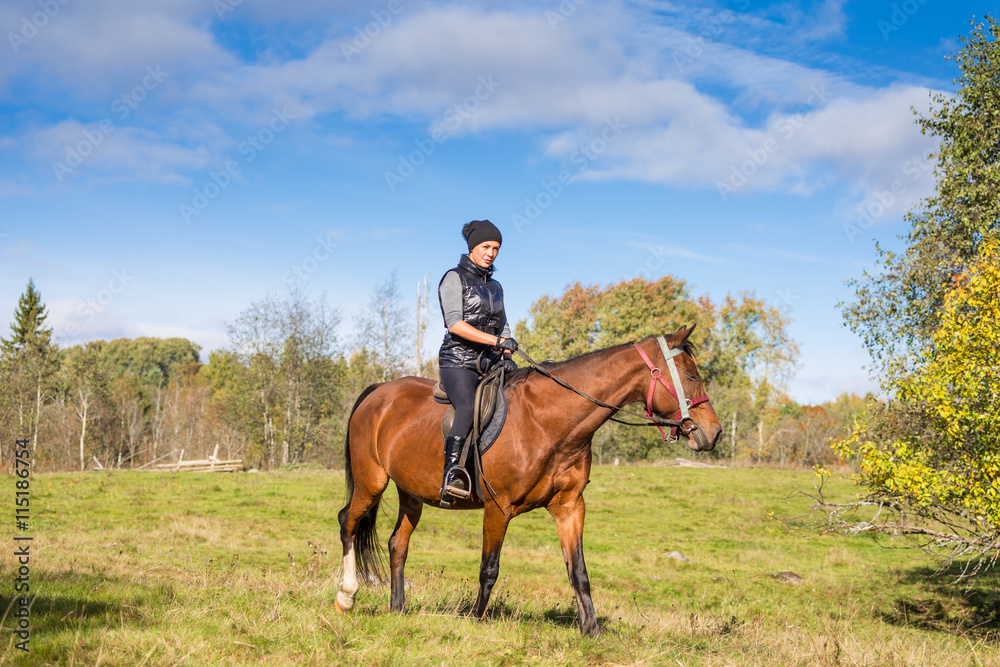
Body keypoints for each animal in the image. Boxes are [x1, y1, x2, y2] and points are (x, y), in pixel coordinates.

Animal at [334, 324, 720, 636]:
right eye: (692, 376)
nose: (713, 433)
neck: (548, 421)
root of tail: (378, 392)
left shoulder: (570, 507)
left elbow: (579, 571)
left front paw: (592, 630)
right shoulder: (497, 507)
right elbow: (489, 569)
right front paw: (474, 621)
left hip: (411, 494)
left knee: (397, 544)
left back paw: (397, 608)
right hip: (371, 483)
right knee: (347, 523)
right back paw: (346, 597)